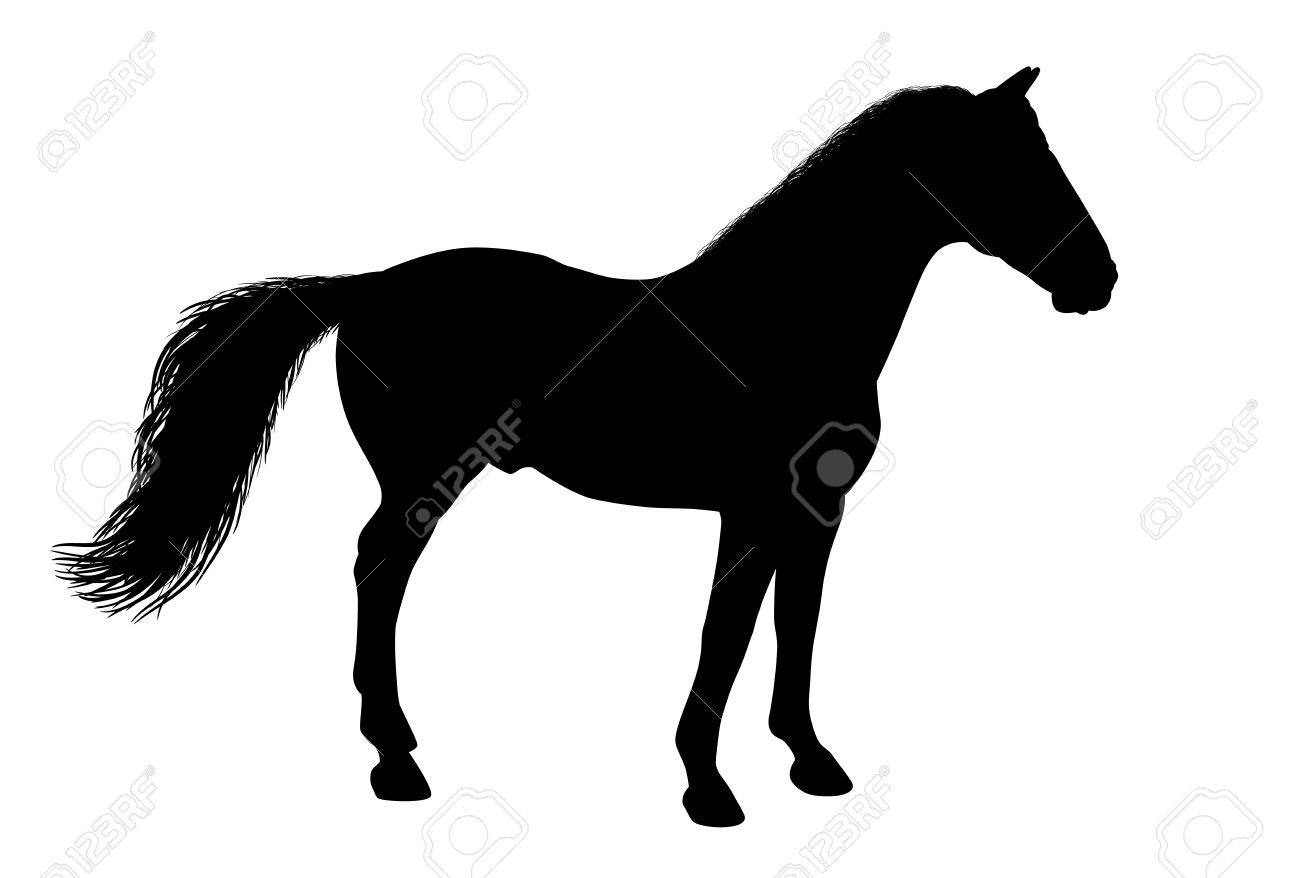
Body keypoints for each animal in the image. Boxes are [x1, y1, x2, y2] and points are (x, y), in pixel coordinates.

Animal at [56, 66, 1116, 827]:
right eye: (1009, 164)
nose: (1099, 279)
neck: (784, 317)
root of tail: (368, 286)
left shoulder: (813, 514)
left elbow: (797, 631)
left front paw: (811, 763)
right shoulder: (748, 511)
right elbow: (726, 637)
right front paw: (707, 790)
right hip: (424, 474)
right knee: (378, 566)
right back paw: (395, 760)